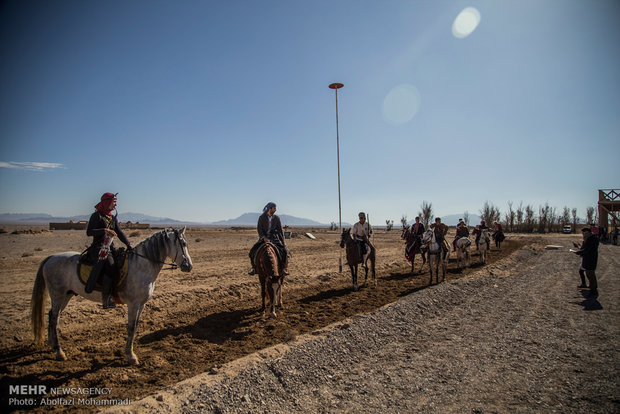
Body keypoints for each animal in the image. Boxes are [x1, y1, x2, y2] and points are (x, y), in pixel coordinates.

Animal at [29, 226, 193, 366]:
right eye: (183, 243)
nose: (189, 266)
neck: (141, 266)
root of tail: (50, 257)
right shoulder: (133, 304)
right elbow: (131, 327)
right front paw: (131, 356)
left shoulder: (141, 304)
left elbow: (135, 326)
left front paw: (130, 352)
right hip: (57, 294)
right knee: (54, 318)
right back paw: (59, 352)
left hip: (66, 296)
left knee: (52, 316)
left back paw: (52, 344)